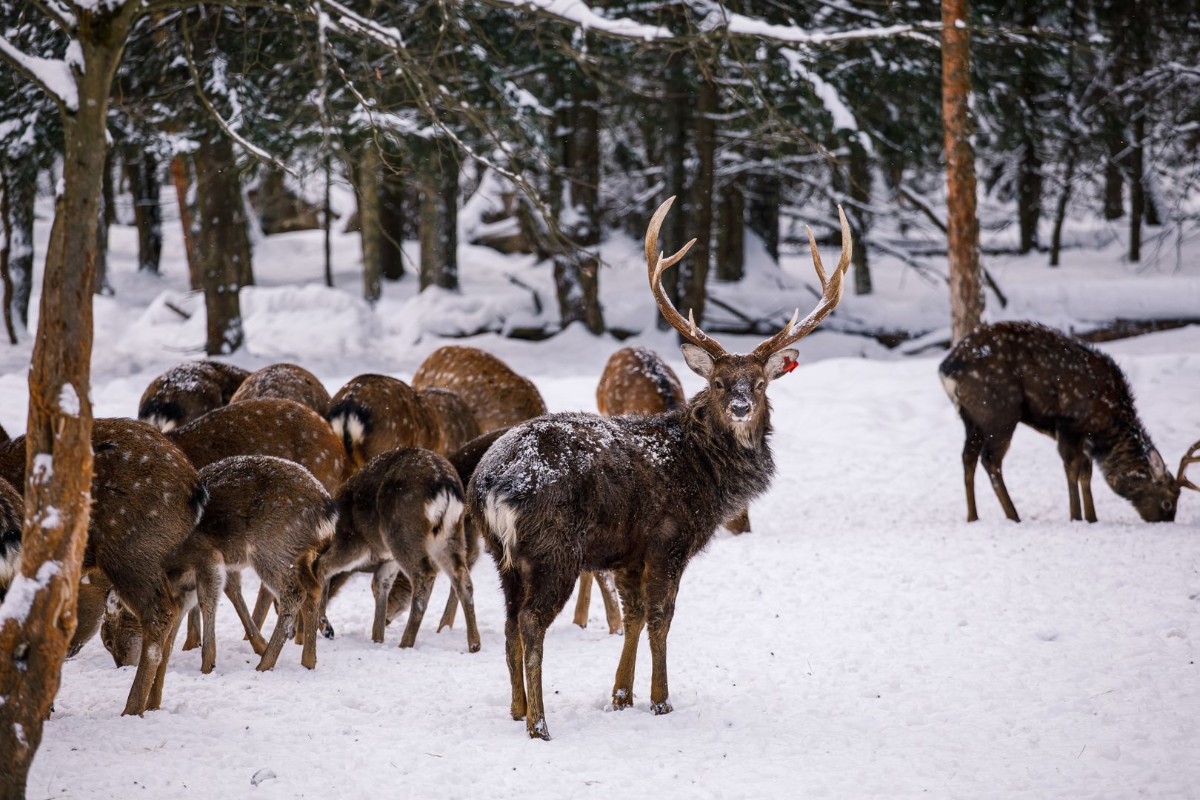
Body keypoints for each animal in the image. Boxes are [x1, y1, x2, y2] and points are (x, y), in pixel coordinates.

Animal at [316, 448, 480, 652]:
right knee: (462, 578)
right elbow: (379, 584)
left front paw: (326, 627)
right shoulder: (388, 559)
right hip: (449, 534)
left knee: (424, 575)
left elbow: (323, 566)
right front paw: (377, 639)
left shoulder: (353, 540)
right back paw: (474, 643)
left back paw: (405, 643)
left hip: (401, 533)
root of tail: (444, 487)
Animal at [463, 196, 849, 743]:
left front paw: (621, 695)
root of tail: (492, 483)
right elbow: (662, 616)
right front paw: (661, 700)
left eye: (759, 382)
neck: (703, 471)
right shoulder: (669, 538)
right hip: (553, 547)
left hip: (503, 554)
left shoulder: (629, 550)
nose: (739, 406)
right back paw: (539, 722)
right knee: (533, 621)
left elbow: (635, 616)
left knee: (511, 620)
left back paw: (517, 708)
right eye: (717, 382)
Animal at [940, 321, 1195, 525]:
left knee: (968, 457)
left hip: (971, 418)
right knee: (990, 459)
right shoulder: (1070, 424)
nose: (1165, 522)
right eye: (1167, 502)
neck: (1107, 422)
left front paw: (1092, 517)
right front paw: (1076, 516)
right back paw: (1014, 516)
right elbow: (1072, 467)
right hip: (999, 412)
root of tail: (946, 369)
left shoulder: (1083, 436)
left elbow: (1086, 471)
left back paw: (973, 516)